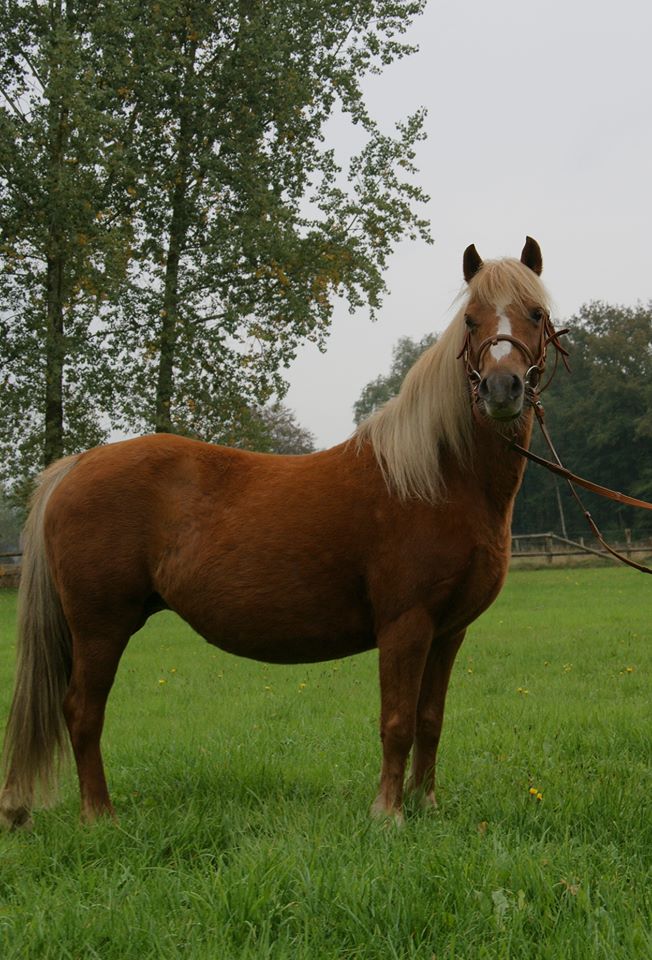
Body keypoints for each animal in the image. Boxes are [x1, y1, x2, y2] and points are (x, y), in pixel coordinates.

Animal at [2, 238, 556, 824]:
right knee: (82, 712)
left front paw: (424, 803)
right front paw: (388, 813)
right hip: (99, 628)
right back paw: (99, 815)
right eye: (471, 320)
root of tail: (77, 465)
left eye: (536, 314)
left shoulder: (448, 632)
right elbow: (397, 723)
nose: (501, 389)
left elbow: (429, 721)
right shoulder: (406, 624)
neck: (437, 476)